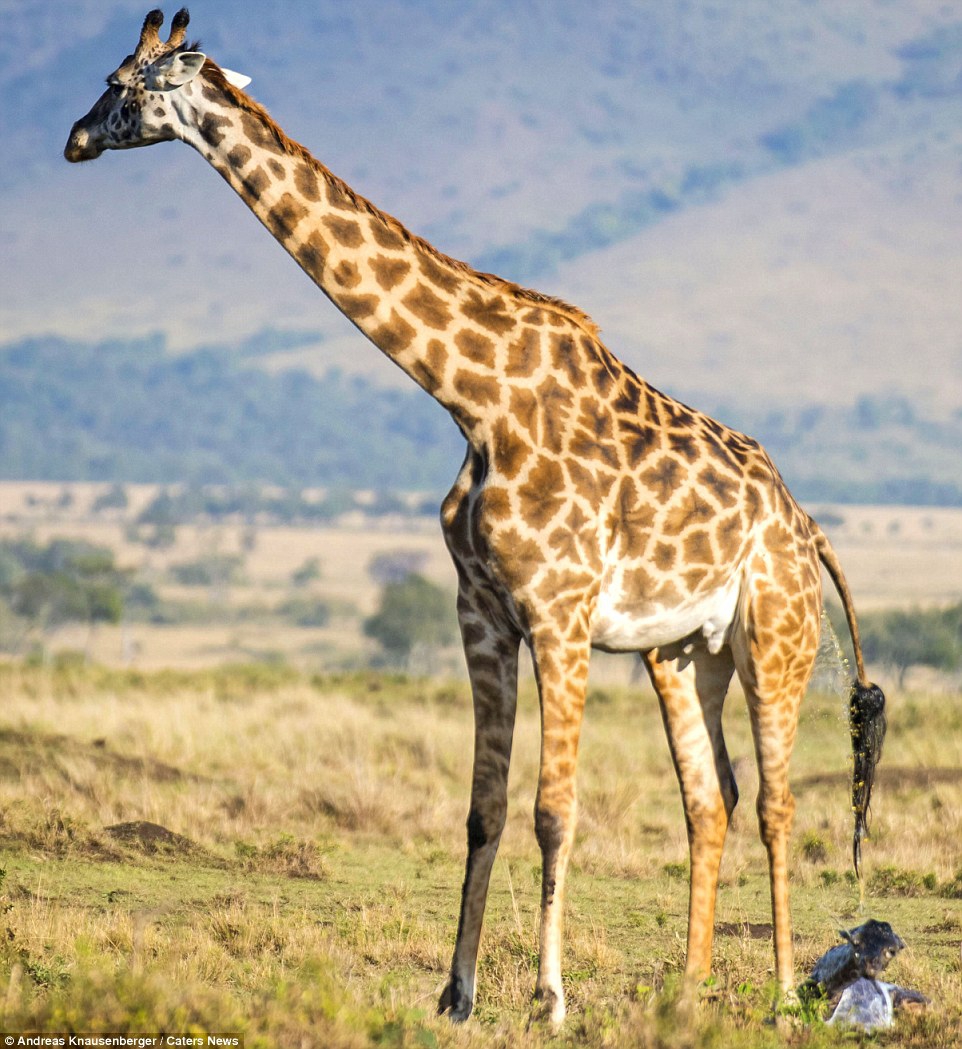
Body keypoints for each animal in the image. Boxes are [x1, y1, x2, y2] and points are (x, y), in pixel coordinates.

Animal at [67, 8, 885, 1023]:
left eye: (122, 86)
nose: (75, 138)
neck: (473, 398)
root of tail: (807, 525)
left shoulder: (561, 614)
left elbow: (552, 809)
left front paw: (549, 998)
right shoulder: (482, 613)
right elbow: (483, 807)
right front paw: (455, 993)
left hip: (776, 634)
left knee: (777, 801)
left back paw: (777, 996)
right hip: (682, 651)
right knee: (712, 796)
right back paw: (686, 993)